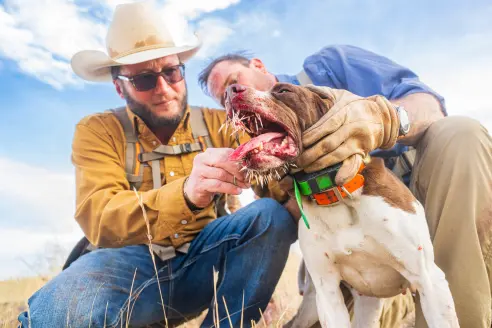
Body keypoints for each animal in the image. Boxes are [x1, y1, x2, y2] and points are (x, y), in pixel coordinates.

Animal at [224, 82, 462, 328]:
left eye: (283, 91)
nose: (231, 90)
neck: (334, 192)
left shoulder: (428, 279)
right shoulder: (328, 294)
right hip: (324, 304)